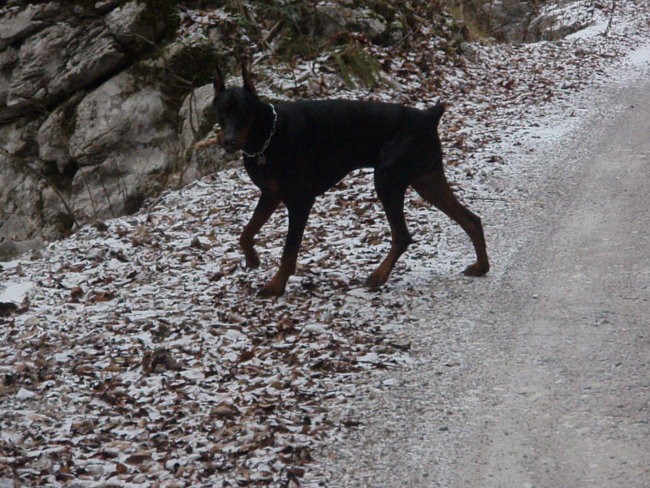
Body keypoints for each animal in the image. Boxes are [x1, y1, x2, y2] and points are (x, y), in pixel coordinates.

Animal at [208, 65, 486, 298]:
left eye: (243, 112)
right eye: (221, 112)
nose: (228, 141)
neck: (266, 135)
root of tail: (429, 116)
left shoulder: (300, 201)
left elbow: (289, 250)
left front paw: (276, 285)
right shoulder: (270, 194)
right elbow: (246, 233)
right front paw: (253, 259)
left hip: (387, 178)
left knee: (403, 235)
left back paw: (378, 275)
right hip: (427, 180)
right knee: (471, 220)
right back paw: (481, 266)